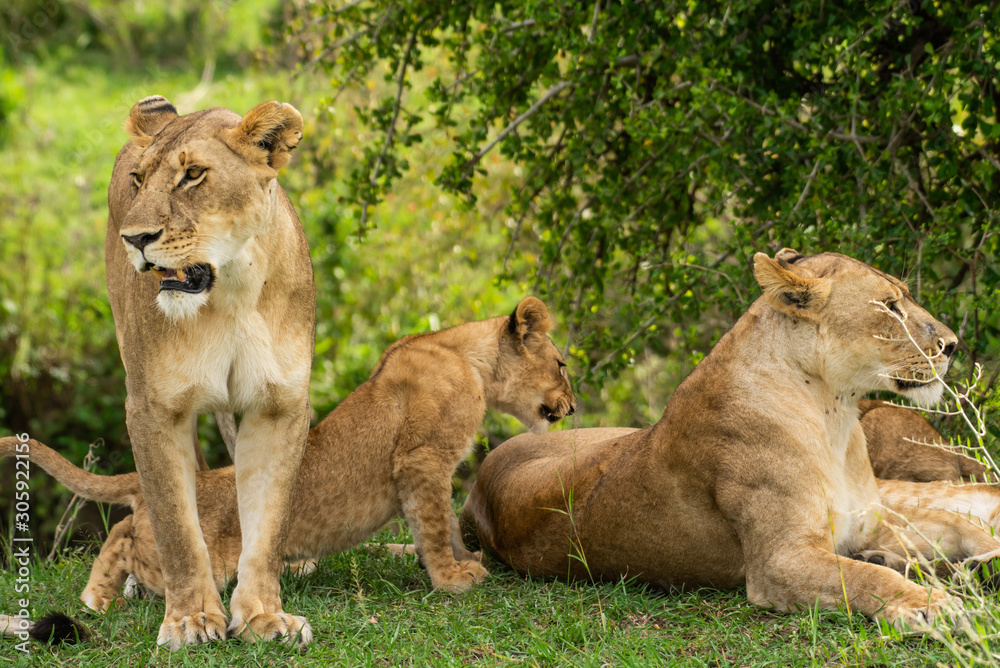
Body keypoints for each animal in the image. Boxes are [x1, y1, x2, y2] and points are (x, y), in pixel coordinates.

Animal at [0, 297, 575, 627]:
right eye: (563, 364)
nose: (573, 407)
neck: (469, 359)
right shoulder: (421, 461)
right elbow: (434, 525)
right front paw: (451, 578)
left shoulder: (431, 467)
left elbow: (448, 524)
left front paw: (465, 560)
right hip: (210, 562)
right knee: (129, 540)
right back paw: (105, 599)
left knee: (120, 534)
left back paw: (98, 599)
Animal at [104, 96, 315, 649]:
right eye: (139, 179)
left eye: (194, 175)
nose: (135, 238)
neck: (233, 293)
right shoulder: (153, 409)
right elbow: (177, 526)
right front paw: (190, 619)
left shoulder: (280, 406)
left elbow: (267, 524)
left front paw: (264, 615)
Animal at [461, 250, 1000, 630]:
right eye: (889, 307)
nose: (952, 345)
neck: (835, 415)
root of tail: (479, 486)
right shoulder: (778, 562)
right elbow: (869, 576)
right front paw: (930, 603)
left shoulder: (865, 520)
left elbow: (949, 525)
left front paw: (964, 566)